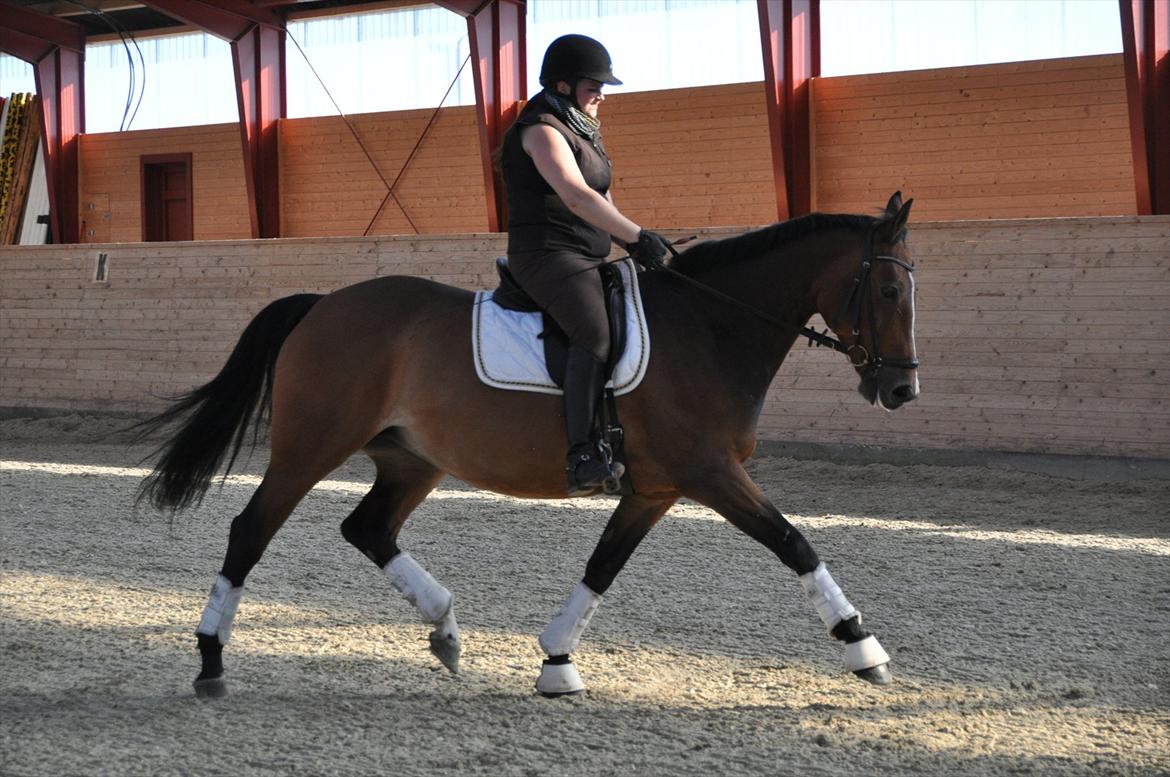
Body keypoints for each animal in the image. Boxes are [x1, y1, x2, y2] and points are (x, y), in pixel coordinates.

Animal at [136, 193, 917, 697]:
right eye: (886, 290)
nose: (902, 389)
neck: (709, 327)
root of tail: (322, 303)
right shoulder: (709, 473)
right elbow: (795, 543)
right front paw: (864, 647)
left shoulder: (656, 488)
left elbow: (602, 567)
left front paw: (557, 662)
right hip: (311, 448)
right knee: (251, 530)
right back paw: (211, 660)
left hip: (413, 459)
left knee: (368, 528)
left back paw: (447, 632)